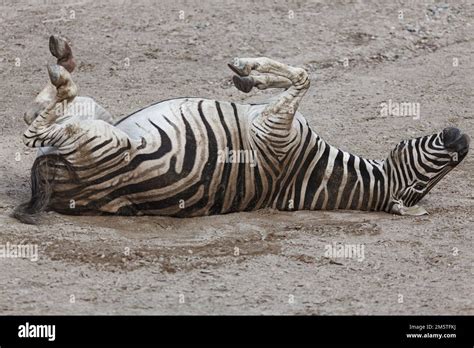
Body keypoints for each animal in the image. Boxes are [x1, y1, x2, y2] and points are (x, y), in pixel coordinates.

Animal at [12, 36, 468, 224]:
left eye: (423, 182)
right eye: (434, 173)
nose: (462, 141)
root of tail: (60, 185)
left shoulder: (274, 126)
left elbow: (303, 76)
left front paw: (250, 69)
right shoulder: (272, 118)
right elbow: (297, 75)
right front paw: (250, 75)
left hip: (108, 140)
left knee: (35, 129)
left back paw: (62, 74)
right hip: (102, 118)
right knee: (42, 113)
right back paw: (63, 59)